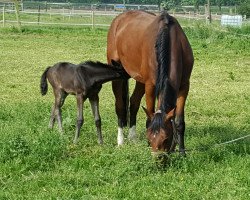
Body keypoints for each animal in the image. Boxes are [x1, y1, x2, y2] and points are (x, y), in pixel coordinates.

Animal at [107, 10, 193, 155]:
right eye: (149, 137)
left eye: (167, 138)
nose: (159, 157)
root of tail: (120, 18)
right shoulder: (150, 86)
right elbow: (149, 117)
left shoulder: (184, 86)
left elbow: (179, 122)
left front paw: (182, 151)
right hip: (117, 72)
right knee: (120, 106)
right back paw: (121, 141)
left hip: (140, 79)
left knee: (134, 102)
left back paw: (133, 138)